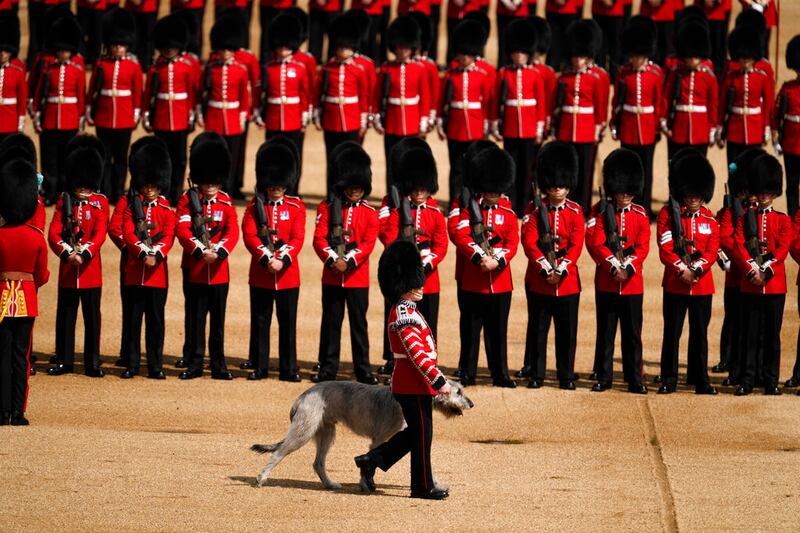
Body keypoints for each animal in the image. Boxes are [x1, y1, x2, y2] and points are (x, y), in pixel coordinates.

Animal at [250, 380, 473, 491]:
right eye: (458, 392)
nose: (471, 404)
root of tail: (302, 396)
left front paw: (435, 484)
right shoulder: (380, 438)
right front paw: (365, 483)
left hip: (327, 432)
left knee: (318, 463)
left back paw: (330, 484)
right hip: (304, 430)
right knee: (279, 452)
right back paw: (262, 477)